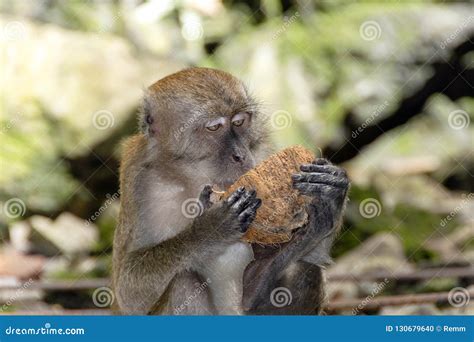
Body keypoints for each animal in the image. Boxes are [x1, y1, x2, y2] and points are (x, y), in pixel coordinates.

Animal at [111, 67, 348, 316]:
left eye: (240, 121)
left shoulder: (261, 150)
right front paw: (208, 230)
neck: (195, 177)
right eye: (214, 127)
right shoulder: (138, 179)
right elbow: (128, 292)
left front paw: (328, 201)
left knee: (304, 269)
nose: (240, 155)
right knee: (183, 283)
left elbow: (315, 257)